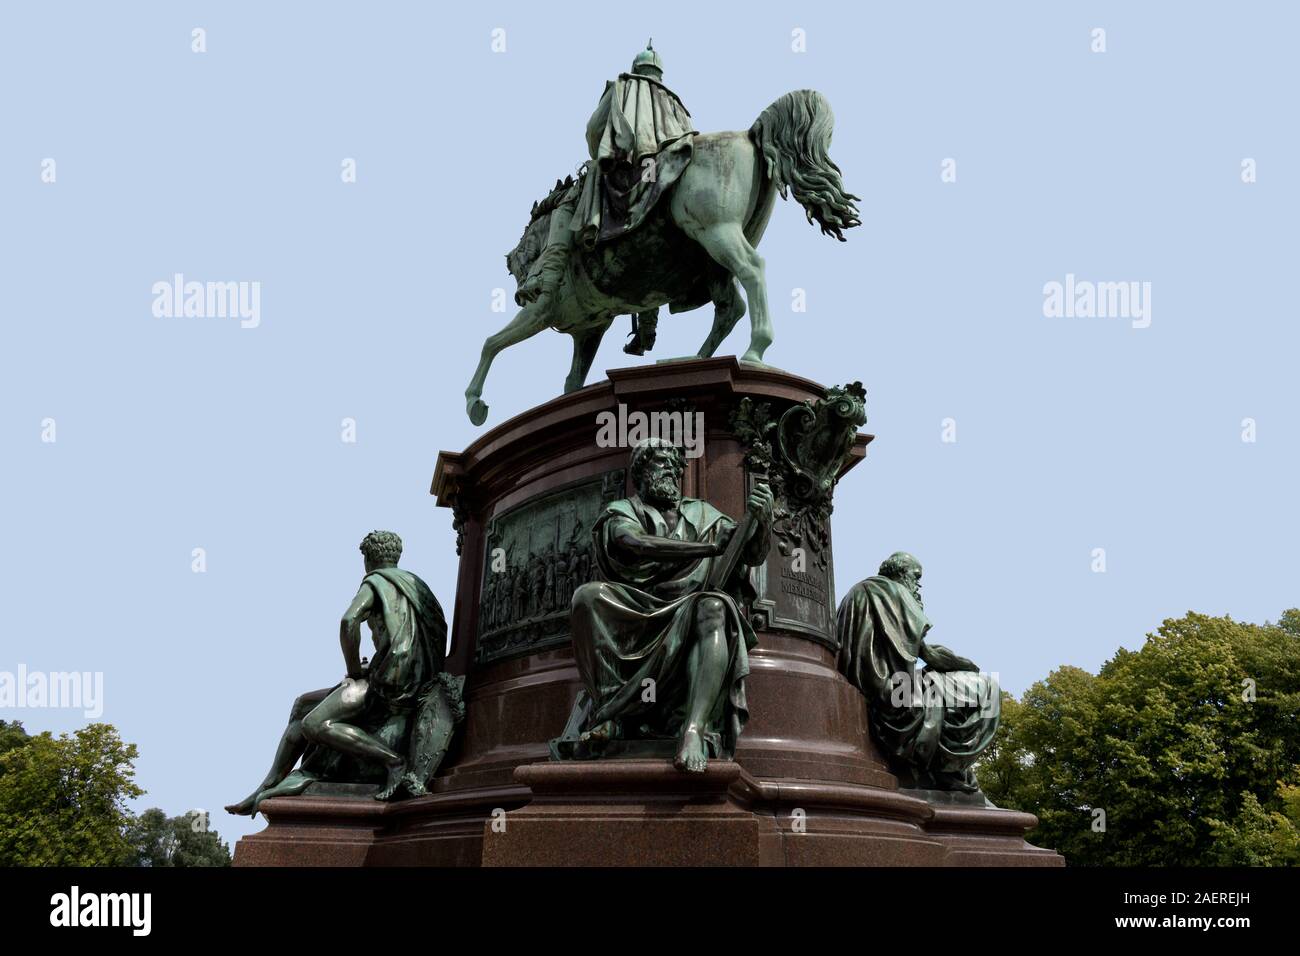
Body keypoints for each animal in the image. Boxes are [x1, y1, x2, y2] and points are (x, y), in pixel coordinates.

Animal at [462, 90, 857, 426]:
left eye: (521, 266)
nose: (522, 289)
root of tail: (749, 132)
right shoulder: (589, 328)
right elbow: (572, 380)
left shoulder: (541, 311)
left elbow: (492, 343)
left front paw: (474, 403)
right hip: (713, 260)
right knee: (731, 306)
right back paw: (697, 360)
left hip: (716, 232)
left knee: (753, 272)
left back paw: (754, 350)